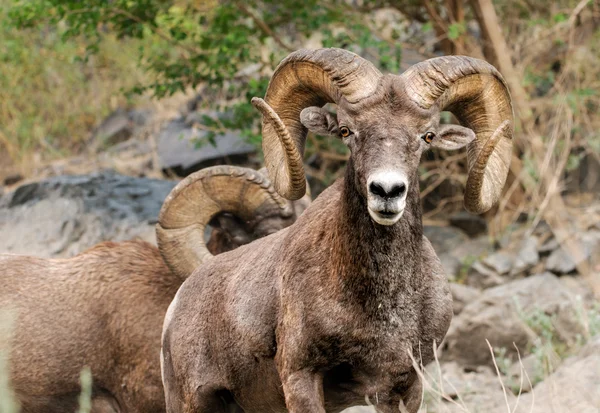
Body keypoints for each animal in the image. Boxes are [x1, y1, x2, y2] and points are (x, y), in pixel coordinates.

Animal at [161, 46, 516, 410]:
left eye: (427, 135)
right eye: (346, 130)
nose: (387, 191)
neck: (384, 306)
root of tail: (177, 305)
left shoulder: (405, 387)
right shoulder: (300, 377)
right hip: (193, 402)